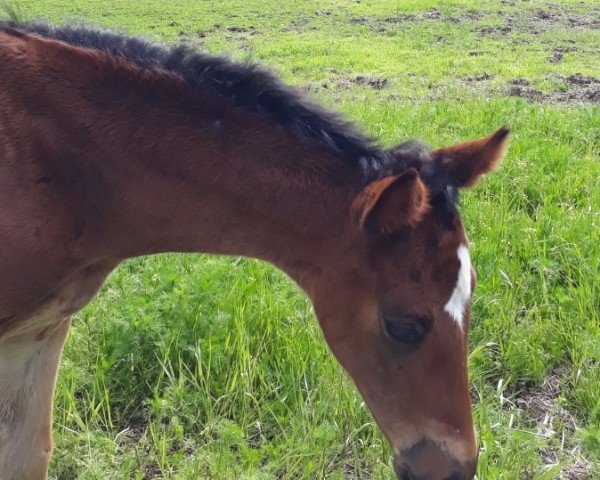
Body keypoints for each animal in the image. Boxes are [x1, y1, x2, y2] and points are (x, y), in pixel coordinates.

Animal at [0, 23, 508, 480]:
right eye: (402, 327)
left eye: (472, 292)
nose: (454, 469)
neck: (73, 171)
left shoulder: (40, 330)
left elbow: (27, 458)